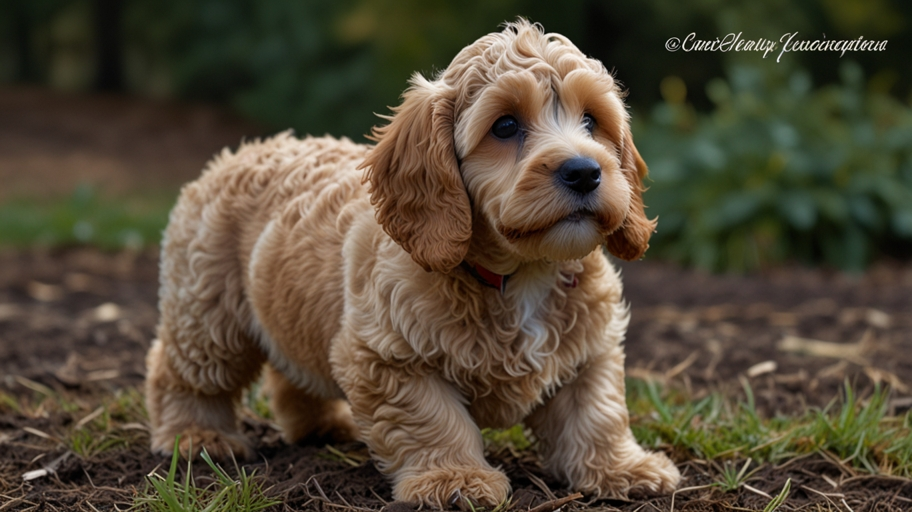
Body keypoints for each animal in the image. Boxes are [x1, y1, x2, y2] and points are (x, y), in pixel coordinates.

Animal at [146, 19, 680, 508]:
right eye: (505, 126)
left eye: (591, 121)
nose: (585, 171)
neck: (522, 274)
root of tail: (238, 153)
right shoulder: (390, 357)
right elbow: (433, 420)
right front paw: (455, 479)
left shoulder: (590, 352)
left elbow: (597, 413)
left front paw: (622, 469)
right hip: (208, 314)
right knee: (180, 373)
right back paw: (198, 438)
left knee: (291, 374)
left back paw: (323, 425)